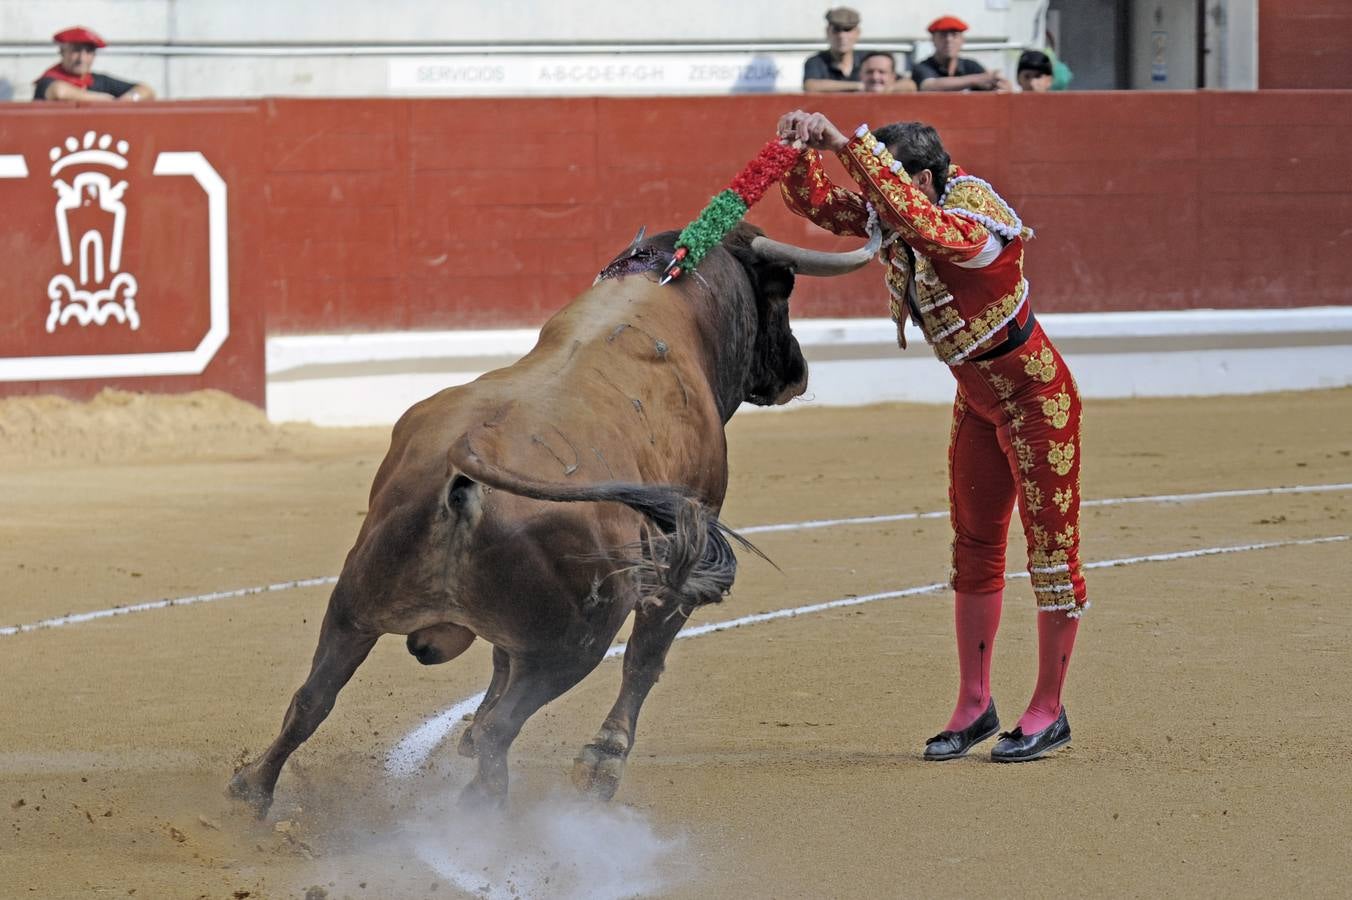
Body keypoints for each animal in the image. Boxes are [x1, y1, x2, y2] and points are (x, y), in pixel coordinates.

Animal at [227, 220, 881, 810]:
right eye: (782, 289)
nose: (796, 370)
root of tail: (466, 473)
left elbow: (497, 660)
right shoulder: (683, 554)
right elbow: (645, 661)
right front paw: (601, 765)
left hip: (354, 602)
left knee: (312, 699)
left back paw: (251, 793)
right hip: (575, 644)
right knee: (511, 722)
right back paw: (486, 809)